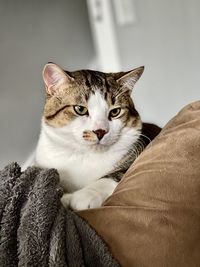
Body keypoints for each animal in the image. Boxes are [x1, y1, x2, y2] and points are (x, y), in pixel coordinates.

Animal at [26, 62, 161, 211]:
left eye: (115, 111)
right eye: (80, 109)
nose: (100, 131)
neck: (84, 156)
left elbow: (117, 174)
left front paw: (85, 195)